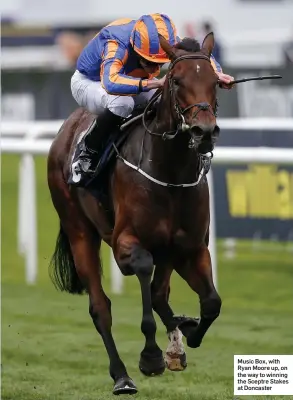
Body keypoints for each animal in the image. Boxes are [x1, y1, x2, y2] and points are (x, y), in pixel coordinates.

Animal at [47, 32, 221, 396]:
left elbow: (211, 302)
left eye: (214, 82)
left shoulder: (191, 248)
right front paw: (152, 356)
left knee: (159, 292)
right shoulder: (125, 243)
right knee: (101, 308)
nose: (204, 132)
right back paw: (122, 376)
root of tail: (66, 129)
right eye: (176, 80)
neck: (171, 172)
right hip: (79, 230)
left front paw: (185, 334)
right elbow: (142, 271)